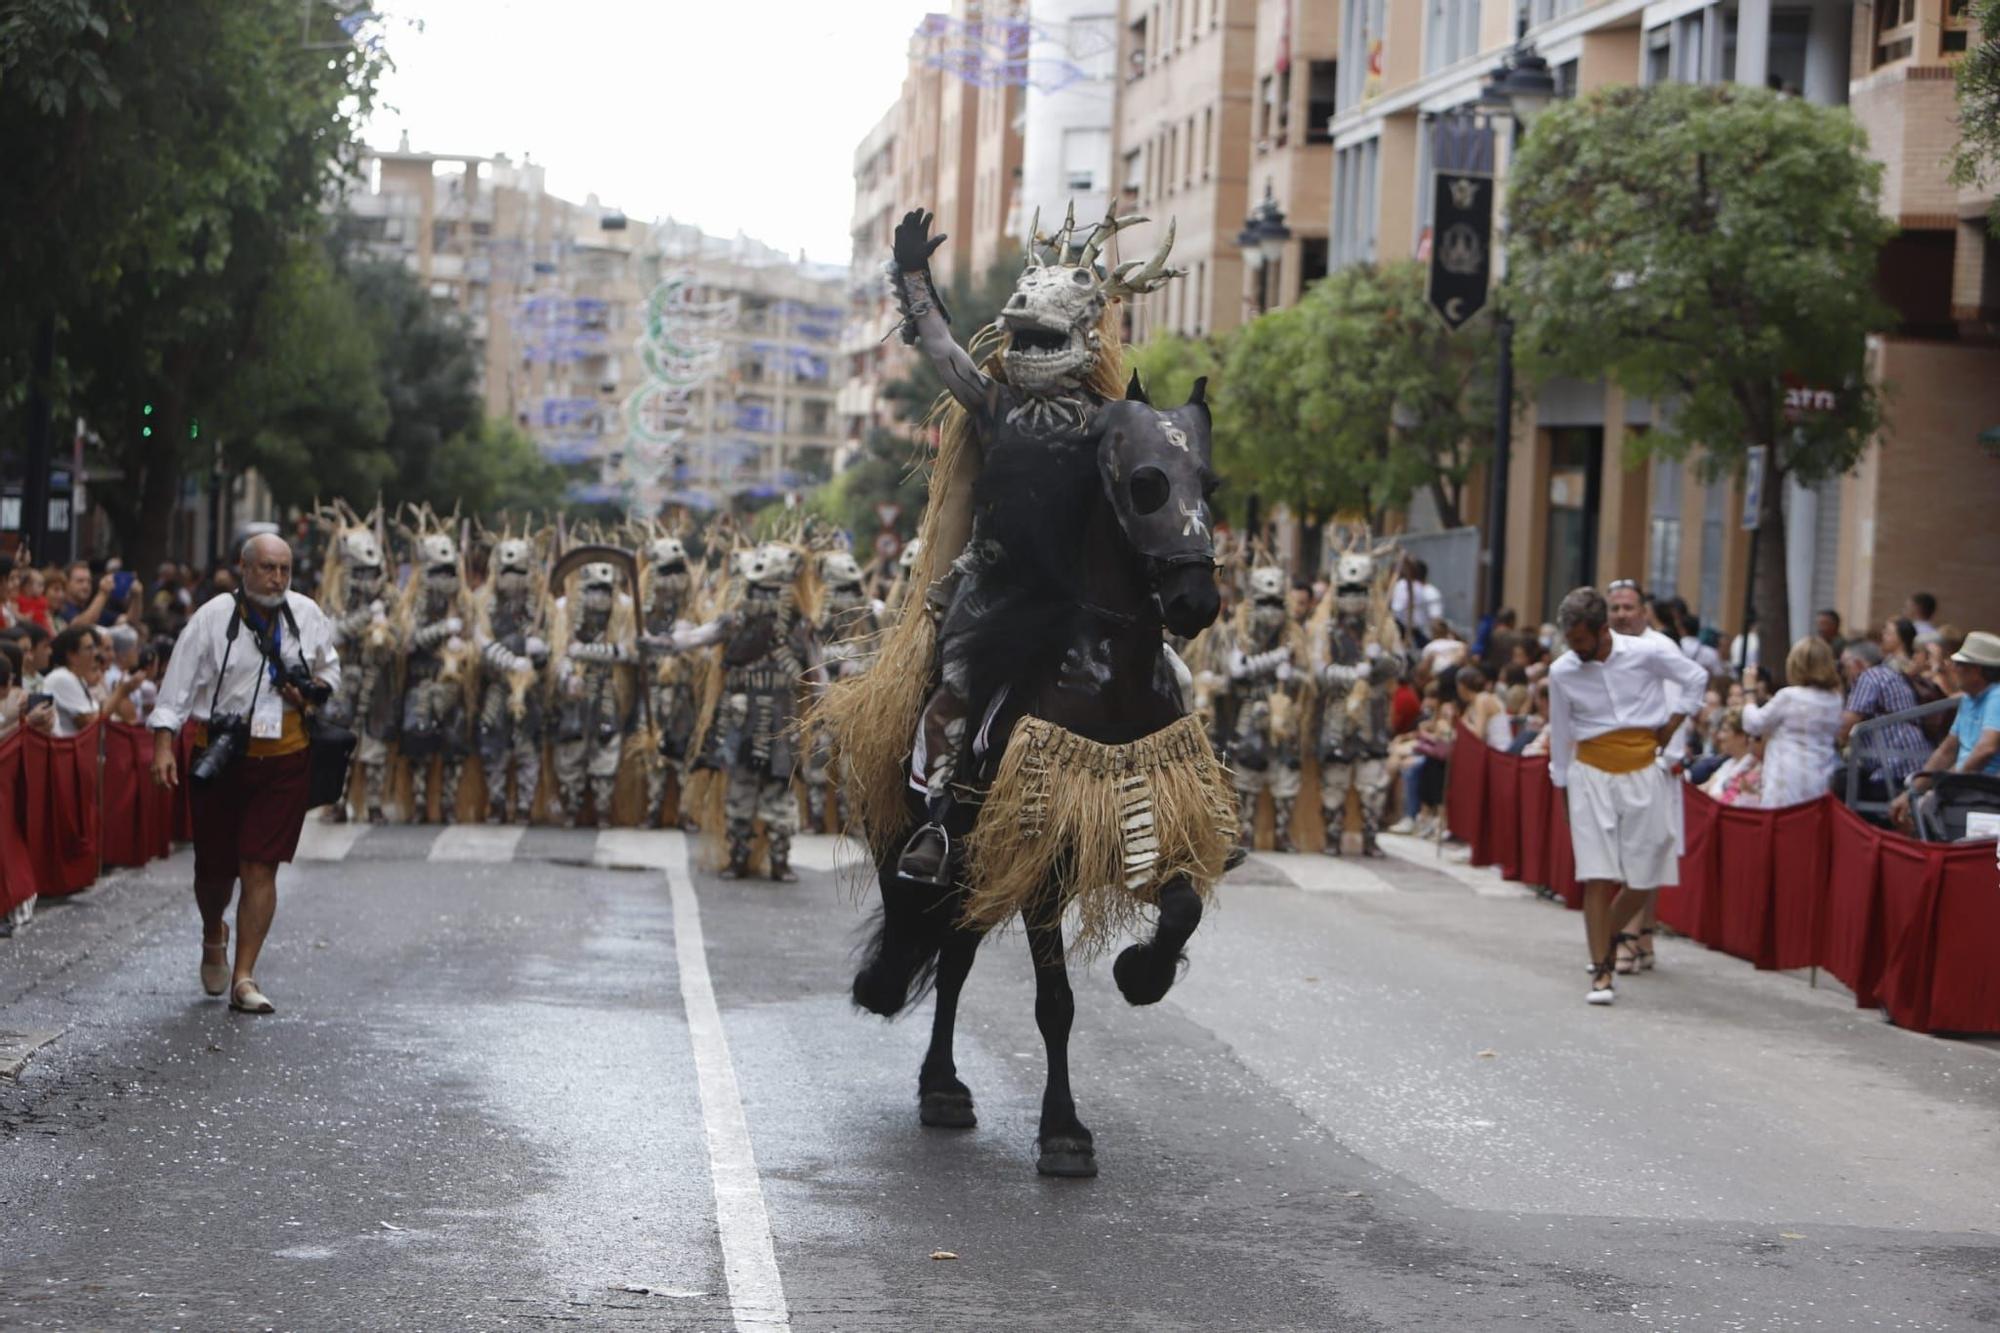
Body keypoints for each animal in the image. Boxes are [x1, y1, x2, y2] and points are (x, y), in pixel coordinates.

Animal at [852, 370, 1224, 1176]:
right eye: (1146, 484)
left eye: (1211, 483)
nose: (1196, 601)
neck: (1107, 676)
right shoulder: (1045, 858)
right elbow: (1055, 1003)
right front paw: (1063, 1132)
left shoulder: (1147, 824)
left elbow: (1183, 908)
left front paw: (1141, 974)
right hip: (952, 852)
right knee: (935, 938)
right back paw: (933, 1073)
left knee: (954, 958)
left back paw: (942, 1085)